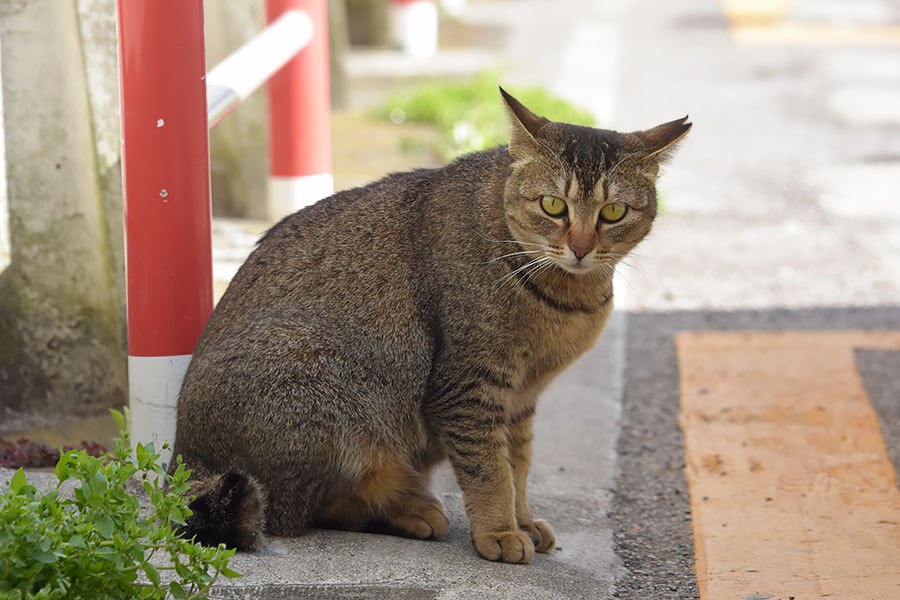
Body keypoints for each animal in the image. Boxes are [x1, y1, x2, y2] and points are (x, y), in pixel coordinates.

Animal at [172, 88, 692, 564]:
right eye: (552, 205)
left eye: (613, 212)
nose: (581, 248)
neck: (564, 296)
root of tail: (182, 455)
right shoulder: (467, 387)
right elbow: (490, 470)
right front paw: (500, 531)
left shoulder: (521, 398)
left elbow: (518, 465)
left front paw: (521, 519)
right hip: (312, 376)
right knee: (294, 512)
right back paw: (405, 510)